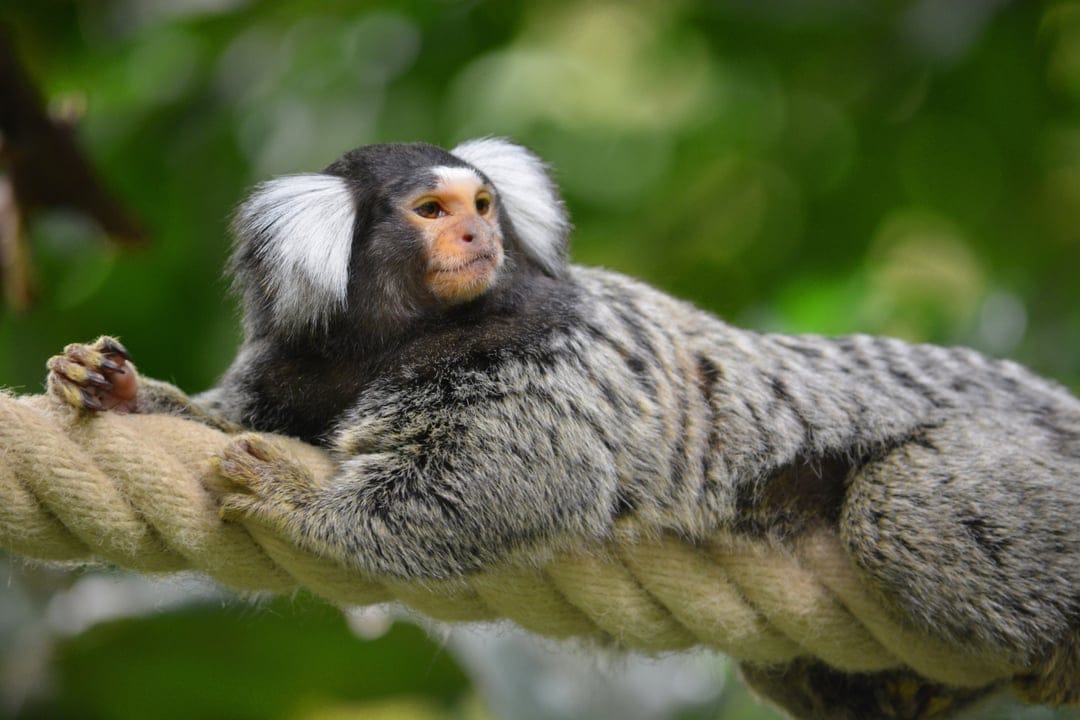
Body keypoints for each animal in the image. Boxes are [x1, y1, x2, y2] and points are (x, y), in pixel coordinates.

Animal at [45, 138, 1080, 718]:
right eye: (431, 210)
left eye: (482, 205)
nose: (476, 237)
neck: (385, 343)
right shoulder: (295, 361)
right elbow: (220, 415)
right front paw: (120, 390)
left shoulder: (538, 349)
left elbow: (494, 483)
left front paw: (294, 496)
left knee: (904, 513)